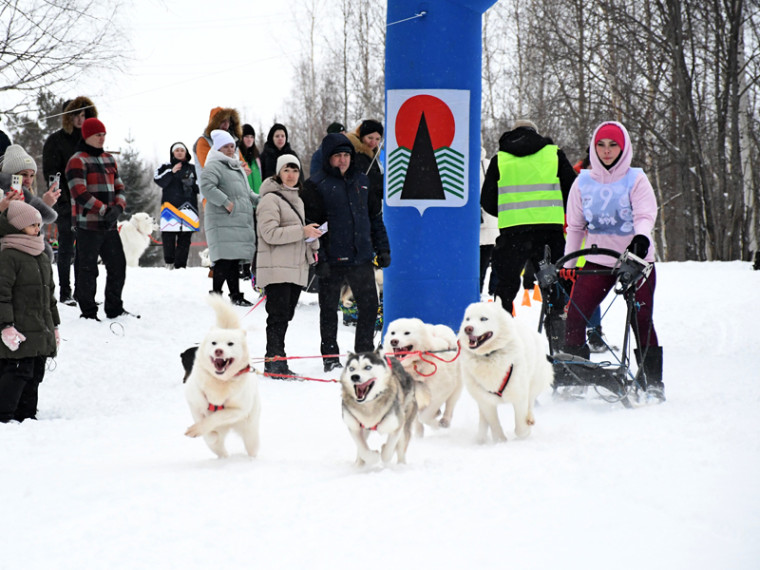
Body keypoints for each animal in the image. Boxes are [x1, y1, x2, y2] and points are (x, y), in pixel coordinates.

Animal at [184, 292, 262, 458]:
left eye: (230, 344)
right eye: (214, 343)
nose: (218, 351)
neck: (219, 382)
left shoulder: (238, 410)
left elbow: (217, 417)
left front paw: (200, 429)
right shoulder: (194, 401)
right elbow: (204, 425)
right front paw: (206, 433)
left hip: (251, 434)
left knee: (251, 448)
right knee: (219, 449)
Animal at [458, 300, 552, 442]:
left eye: (483, 318)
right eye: (467, 319)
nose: (467, 328)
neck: (489, 355)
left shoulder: (519, 396)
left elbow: (520, 428)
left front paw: (524, 433)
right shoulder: (486, 402)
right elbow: (494, 424)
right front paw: (500, 441)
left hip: (534, 382)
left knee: (531, 400)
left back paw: (530, 418)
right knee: (483, 418)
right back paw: (481, 437)